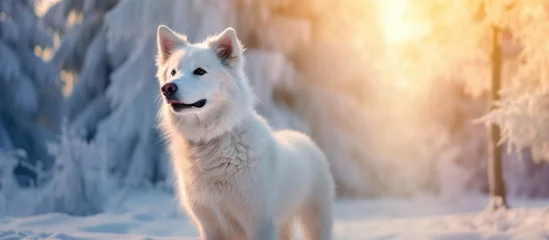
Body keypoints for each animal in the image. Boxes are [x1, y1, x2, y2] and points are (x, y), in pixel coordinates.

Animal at [154, 24, 334, 240]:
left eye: (199, 71)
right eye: (173, 72)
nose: (167, 88)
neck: (211, 140)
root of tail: (303, 138)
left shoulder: (258, 224)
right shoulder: (209, 225)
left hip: (316, 221)